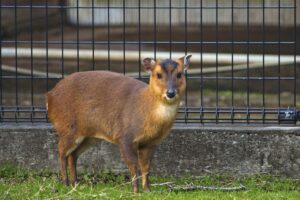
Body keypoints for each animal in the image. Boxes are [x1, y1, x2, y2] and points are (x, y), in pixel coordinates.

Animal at [47, 54, 192, 192]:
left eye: (180, 74)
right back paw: (65, 183)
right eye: (158, 74)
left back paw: (75, 183)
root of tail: (49, 95)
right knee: (61, 151)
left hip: (88, 136)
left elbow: (146, 166)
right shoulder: (124, 136)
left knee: (72, 155)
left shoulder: (151, 142)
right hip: (67, 128)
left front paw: (147, 189)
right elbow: (133, 164)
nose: (171, 93)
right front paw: (135, 191)